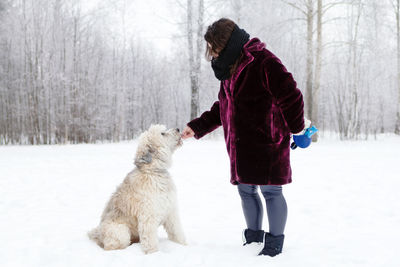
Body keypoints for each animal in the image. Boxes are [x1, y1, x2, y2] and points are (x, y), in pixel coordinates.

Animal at [89, 124, 186, 254]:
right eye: (162, 133)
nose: (178, 129)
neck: (153, 171)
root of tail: (98, 235)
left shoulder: (171, 213)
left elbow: (176, 232)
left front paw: (183, 245)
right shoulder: (148, 217)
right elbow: (150, 241)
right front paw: (154, 254)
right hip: (120, 232)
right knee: (111, 246)